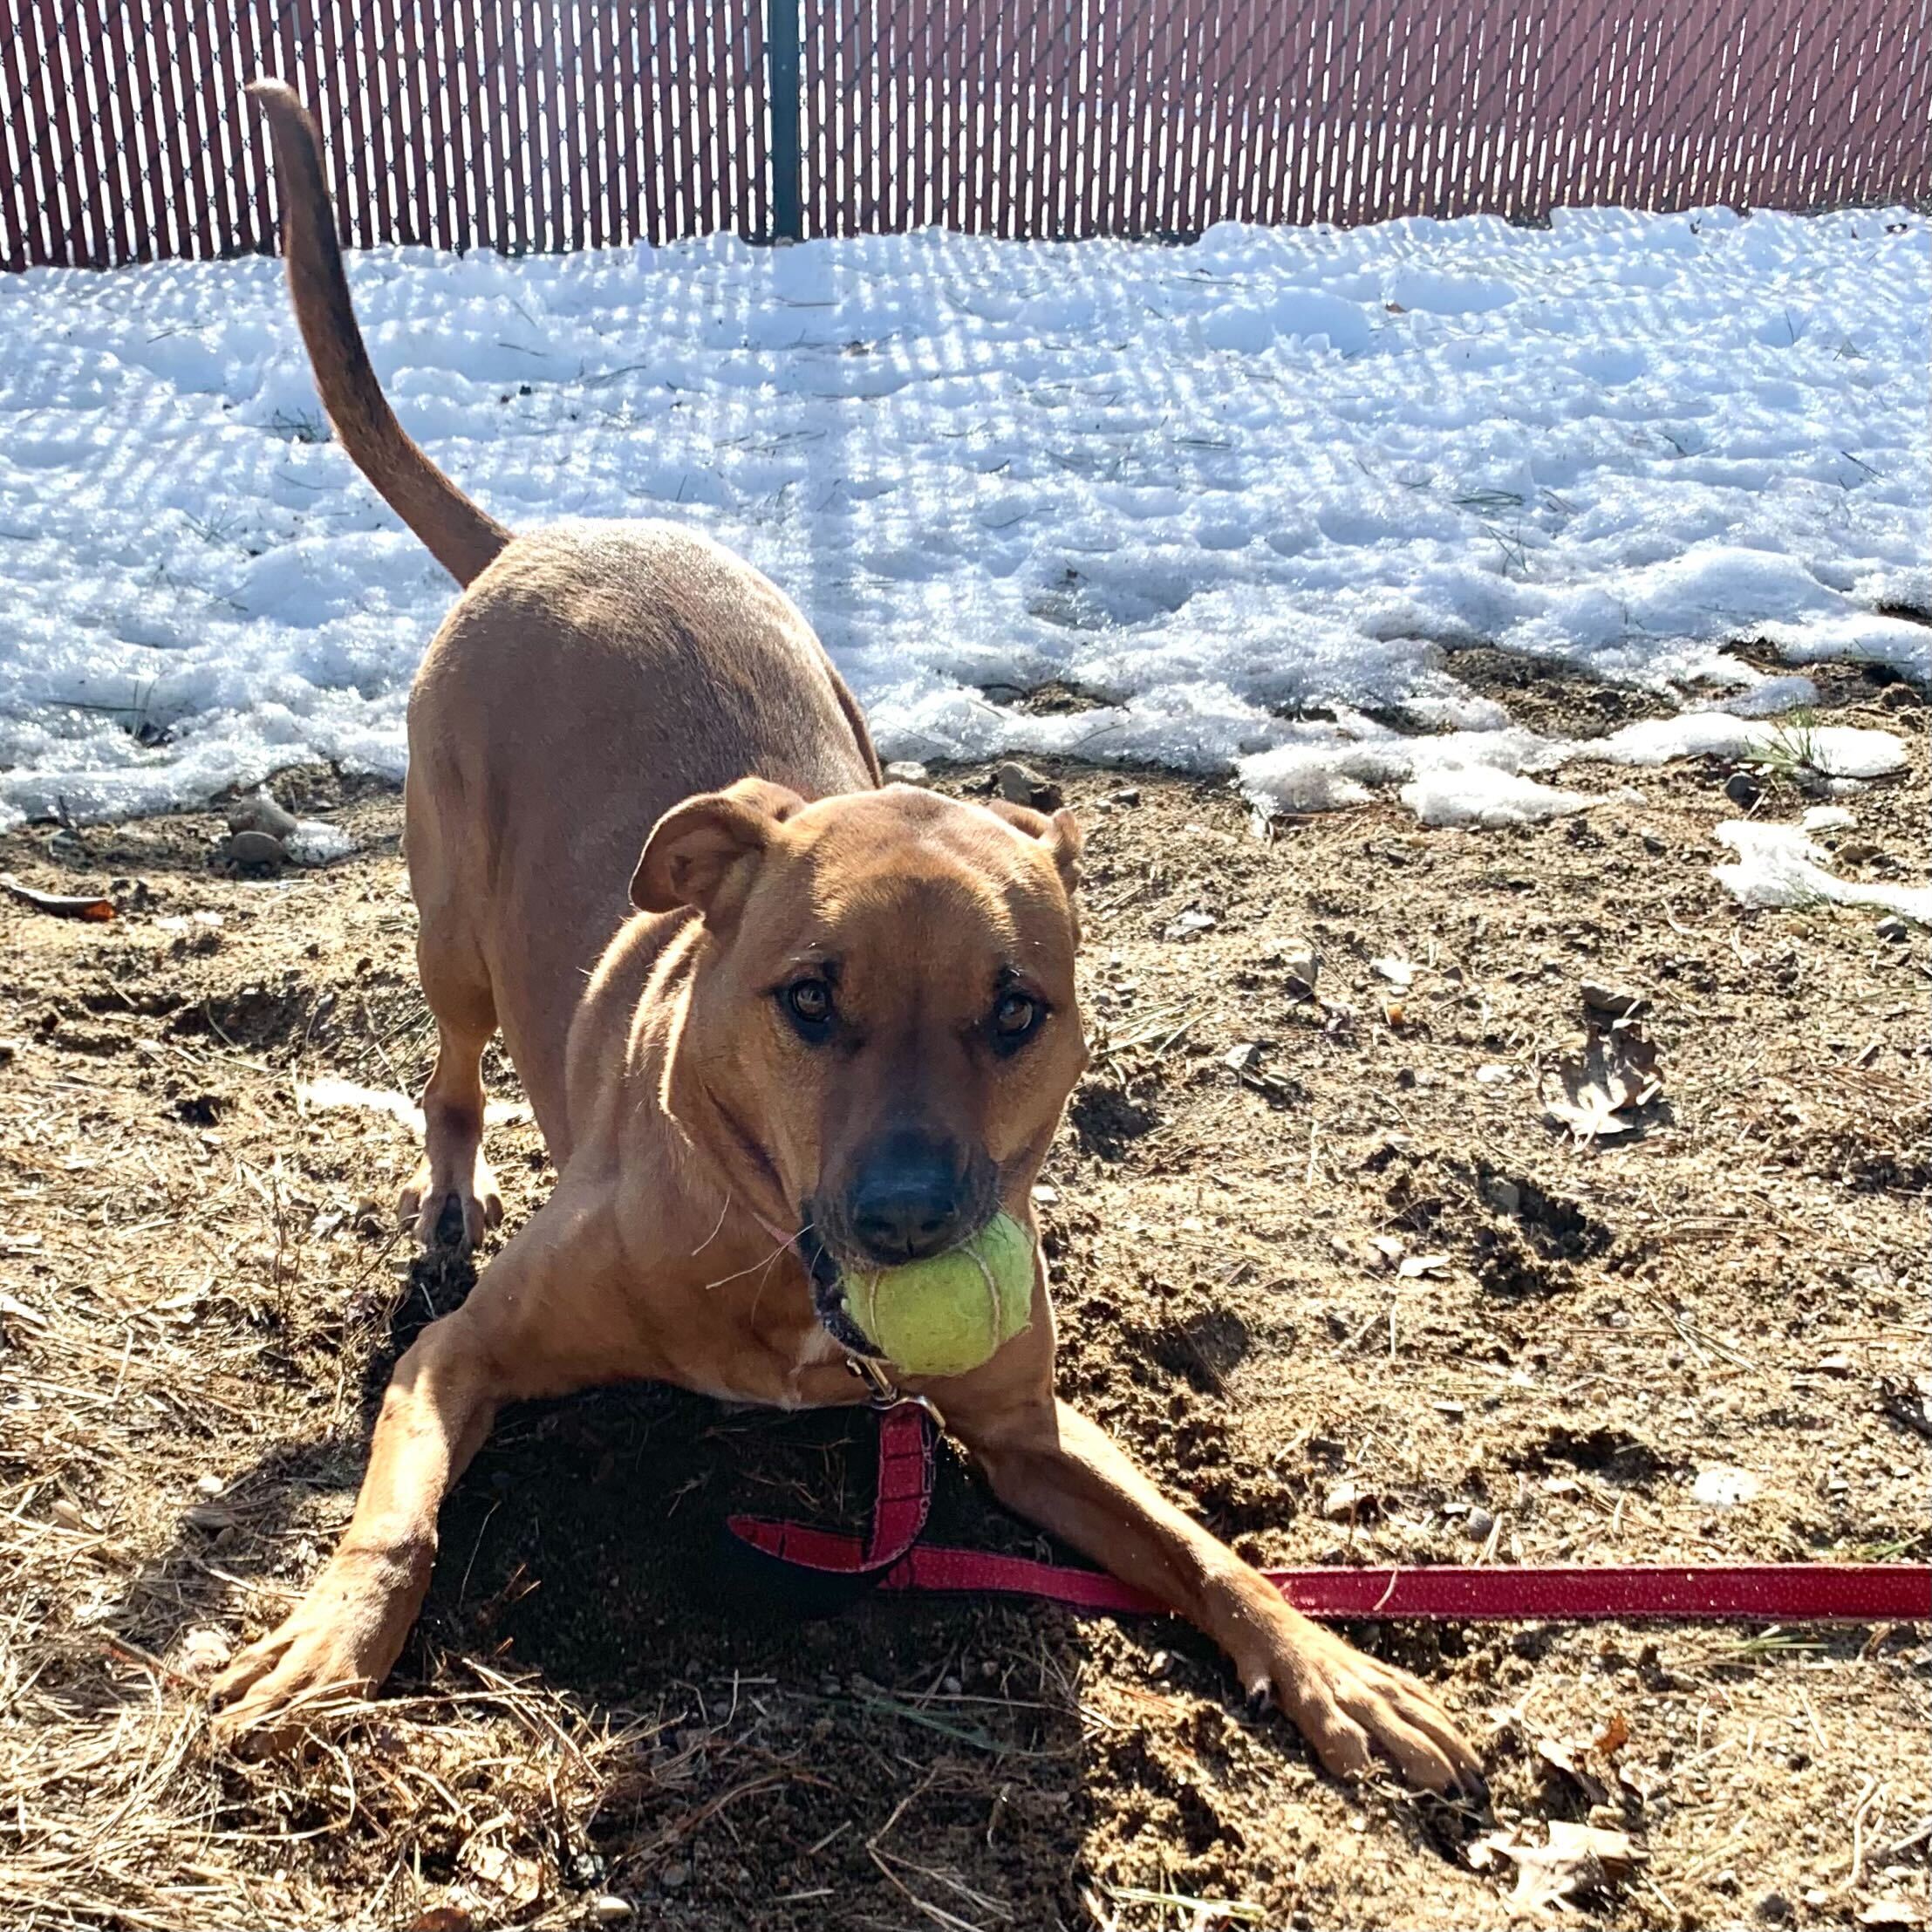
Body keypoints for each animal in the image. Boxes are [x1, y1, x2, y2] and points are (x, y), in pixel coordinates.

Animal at [211, 79, 1476, 1792]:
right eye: (807, 1000)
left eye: (1016, 1012)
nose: (909, 1220)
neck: (784, 1285)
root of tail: (538, 538)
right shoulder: (452, 1364)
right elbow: (393, 1518)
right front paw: (328, 1646)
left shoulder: (1027, 1428)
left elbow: (1196, 1543)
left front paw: (1335, 1665)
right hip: (448, 931)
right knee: (454, 1076)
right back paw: (449, 1197)